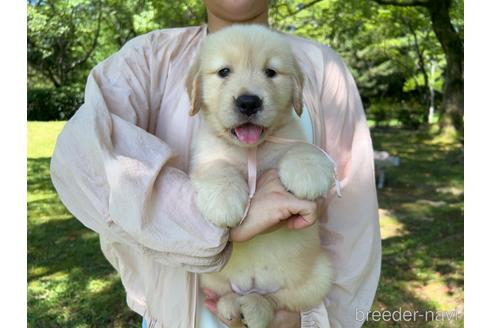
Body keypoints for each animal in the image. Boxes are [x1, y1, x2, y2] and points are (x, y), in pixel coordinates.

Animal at [187, 24, 334, 326]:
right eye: (224, 72)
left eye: (271, 72)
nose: (248, 102)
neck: (250, 150)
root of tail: (252, 284)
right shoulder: (205, 156)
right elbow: (218, 168)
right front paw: (225, 202)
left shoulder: (289, 136)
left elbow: (301, 147)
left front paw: (309, 171)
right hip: (210, 277)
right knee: (227, 294)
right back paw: (233, 306)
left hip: (319, 276)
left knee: (277, 300)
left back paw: (255, 307)